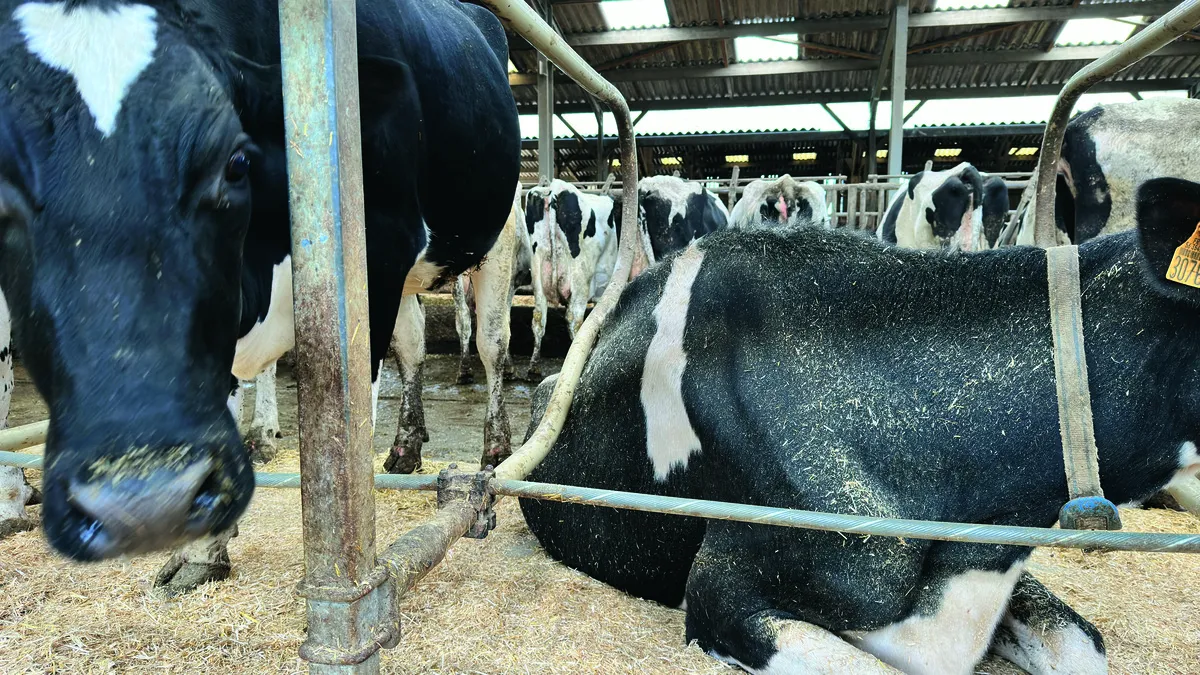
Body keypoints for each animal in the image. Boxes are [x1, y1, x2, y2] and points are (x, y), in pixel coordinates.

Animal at [0, 0, 519, 591]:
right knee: (412, 345)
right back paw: (406, 447)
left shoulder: (381, 243)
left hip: (498, 232)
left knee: (492, 344)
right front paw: (202, 549)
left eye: (234, 162)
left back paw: (495, 445)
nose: (135, 501)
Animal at [525, 179, 618, 380]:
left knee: (538, 318)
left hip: (537, 271)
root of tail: (555, 188)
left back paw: (533, 368)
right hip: (581, 278)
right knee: (575, 320)